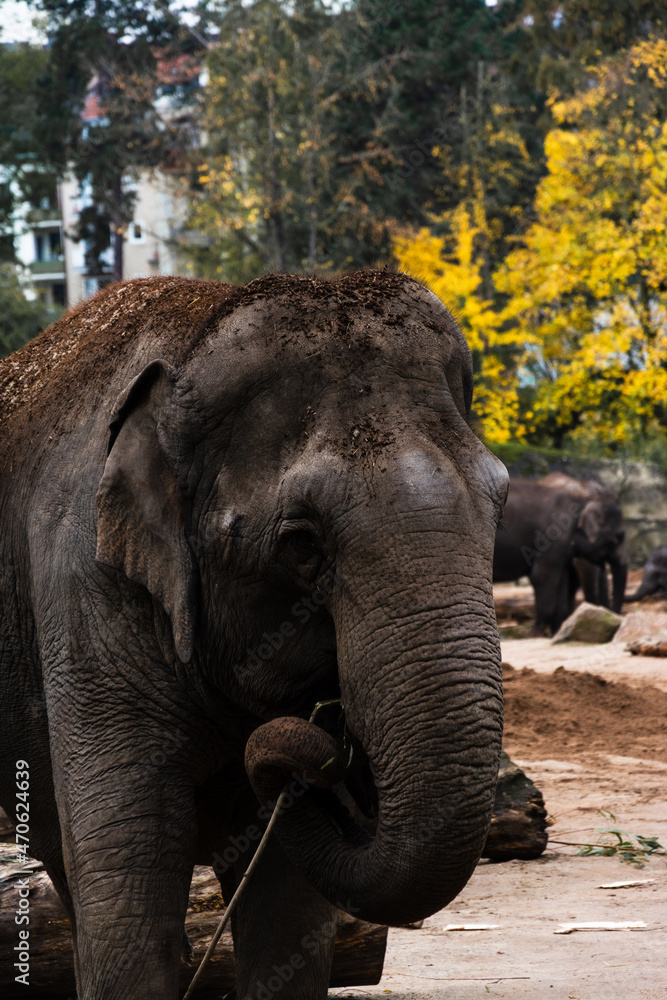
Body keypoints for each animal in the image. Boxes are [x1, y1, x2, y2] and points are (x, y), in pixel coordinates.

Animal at [0, 271, 508, 1000]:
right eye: (300, 544)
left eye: (501, 504)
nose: (329, 738)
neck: (197, 327)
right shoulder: (82, 587)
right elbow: (131, 869)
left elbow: (287, 909)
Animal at [493, 475, 626, 635]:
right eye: (619, 537)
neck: (582, 500)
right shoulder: (549, 538)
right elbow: (541, 576)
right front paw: (535, 634)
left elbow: (562, 581)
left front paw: (556, 632)